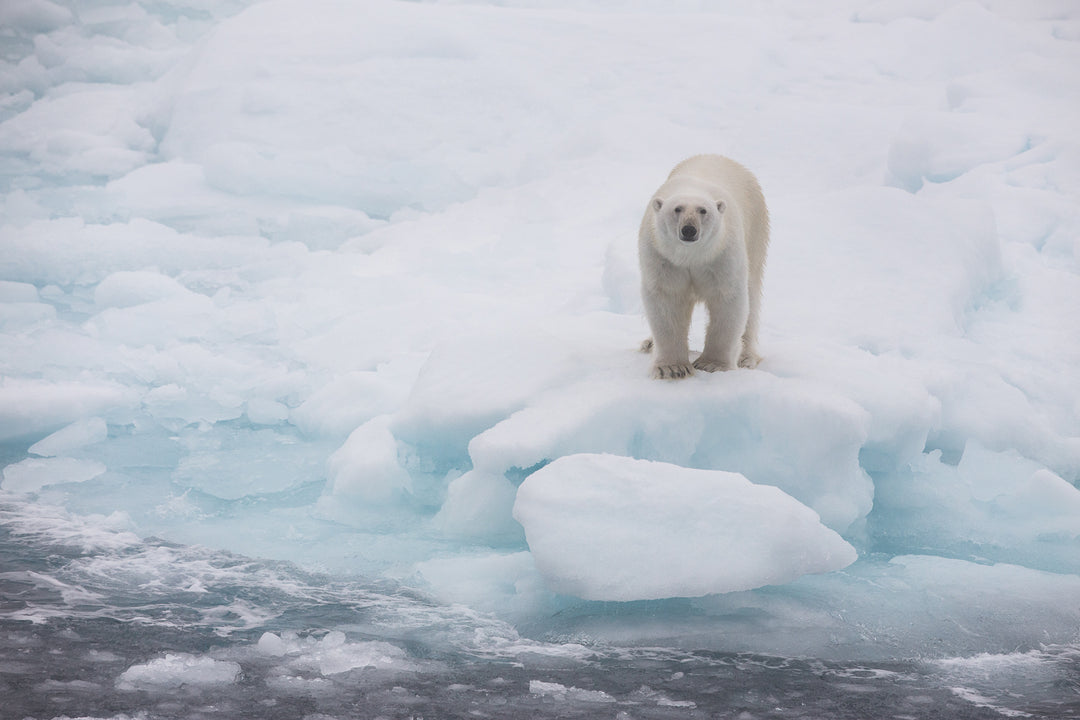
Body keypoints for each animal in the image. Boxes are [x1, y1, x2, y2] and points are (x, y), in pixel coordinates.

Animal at [635, 155, 773, 379]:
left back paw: (746, 357)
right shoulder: (663, 257)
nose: (689, 230)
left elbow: (727, 299)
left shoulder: (721, 254)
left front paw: (712, 364)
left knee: (752, 295)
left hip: (756, 230)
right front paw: (672, 368)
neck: (691, 256)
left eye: (703, 210)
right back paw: (648, 343)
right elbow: (666, 300)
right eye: (677, 209)